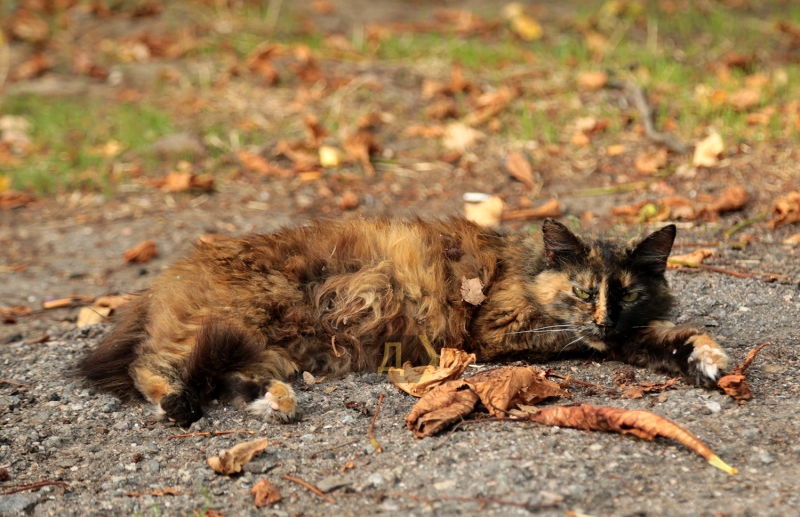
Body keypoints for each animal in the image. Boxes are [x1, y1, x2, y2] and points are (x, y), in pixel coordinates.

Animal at [78, 217, 728, 424]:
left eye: (627, 294)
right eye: (583, 291)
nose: (604, 321)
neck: (519, 267)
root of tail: (170, 275)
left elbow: (669, 338)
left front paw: (708, 360)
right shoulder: (497, 333)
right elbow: (581, 343)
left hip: (261, 343)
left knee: (235, 377)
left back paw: (276, 403)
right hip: (232, 321)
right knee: (149, 365)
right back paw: (177, 404)